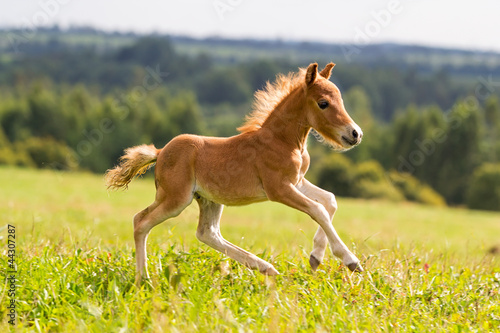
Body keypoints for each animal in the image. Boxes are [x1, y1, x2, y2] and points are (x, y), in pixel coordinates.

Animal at [105, 62, 364, 280]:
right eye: (323, 103)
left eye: (341, 100)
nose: (355, 134)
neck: (283, 141)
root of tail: (160, 153)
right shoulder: (278, 189)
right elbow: (318, 210)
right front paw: (351, 261)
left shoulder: (297, 181)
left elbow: (330, 200)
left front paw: (315, 257)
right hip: (176, 198)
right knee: (141, 222)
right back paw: (143, 279)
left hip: (207, 199)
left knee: (206, 233)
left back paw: (266, 268)